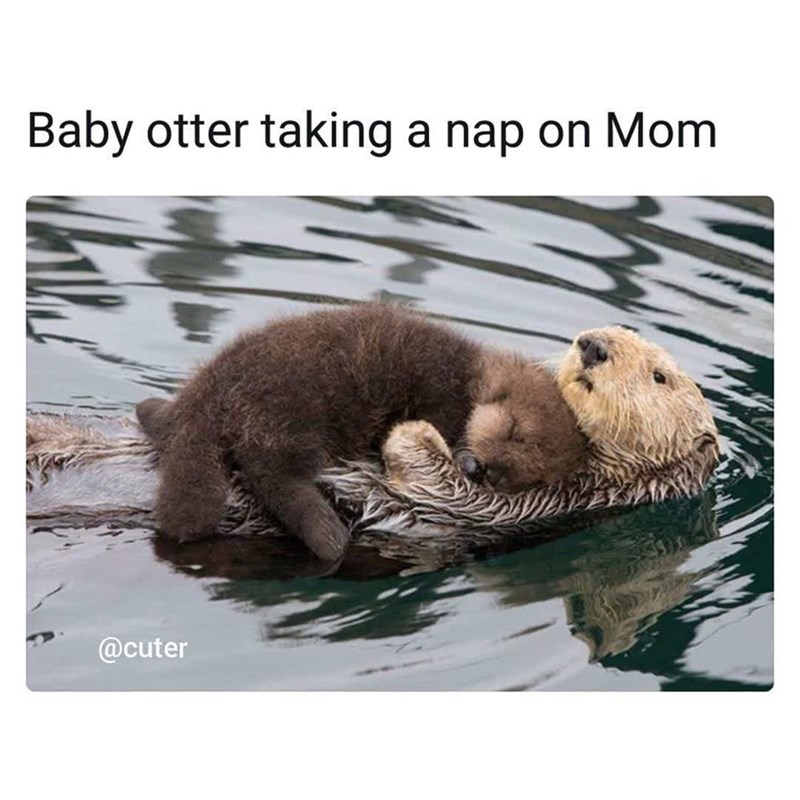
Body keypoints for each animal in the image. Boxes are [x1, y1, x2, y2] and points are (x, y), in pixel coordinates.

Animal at [135, 304, 587, 561]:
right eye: (514, 432)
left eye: (525, 475)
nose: (489, 471)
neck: (470, 376)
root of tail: (209, 395)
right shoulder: (443, 393)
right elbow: (446, 421)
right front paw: (464, 456)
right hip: (289, 413)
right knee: (274, 476)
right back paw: (328, 536)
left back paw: (151, 411)